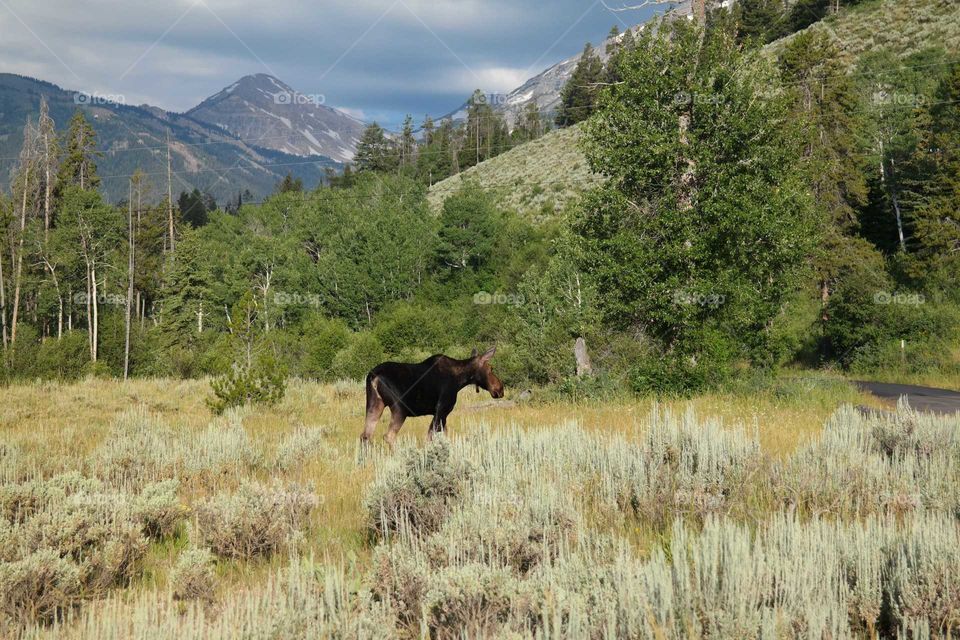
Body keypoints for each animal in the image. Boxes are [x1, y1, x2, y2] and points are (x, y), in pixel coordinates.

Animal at [362, 348, 506, 448]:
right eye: (491, 368)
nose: (500, 388)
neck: (460, 380)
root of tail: (373, 377)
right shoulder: (442, 409)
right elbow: (430, 438)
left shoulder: (441, 413)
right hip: (399, 409)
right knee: (388, 436)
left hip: (374, 405)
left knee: (365, 436)